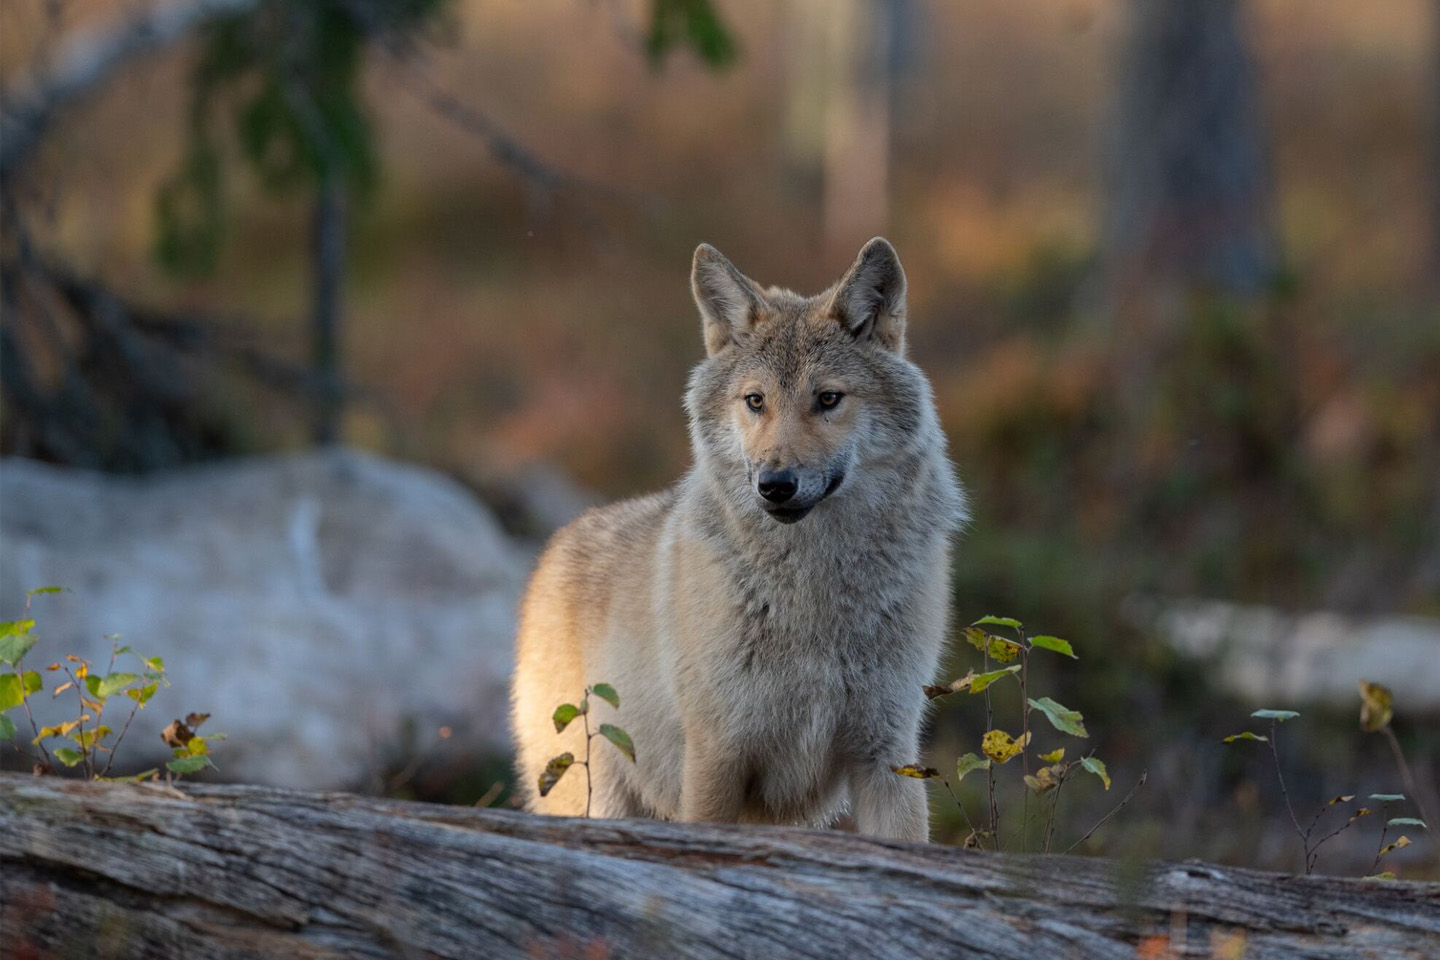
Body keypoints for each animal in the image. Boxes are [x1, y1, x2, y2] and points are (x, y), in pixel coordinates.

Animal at [509, 240, 967, 840]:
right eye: (755, 401)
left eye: (828, 399)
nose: (775, 484)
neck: (813, 594)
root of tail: (554, 546)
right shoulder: (716, 759)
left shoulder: (888, 757)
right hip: (595, 798)